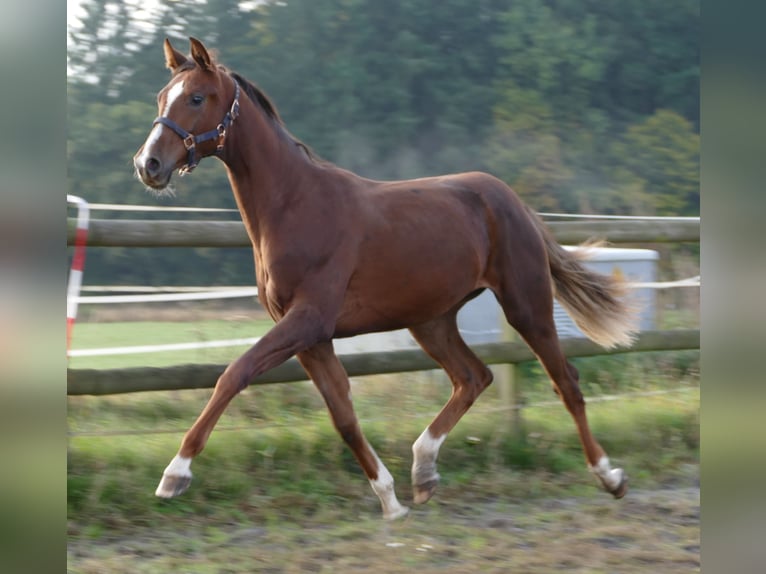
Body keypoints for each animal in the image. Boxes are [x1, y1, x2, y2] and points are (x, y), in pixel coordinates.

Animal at [134, 38, 636, 520]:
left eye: (196, 97)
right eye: (160, 96)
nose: (148, 164)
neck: (295, 205)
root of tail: (515, 201)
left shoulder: (308, 320)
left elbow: (234, 374)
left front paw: (174, 475)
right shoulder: (313, 337)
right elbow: (343, 415)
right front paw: (390, 502)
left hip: (525, 303)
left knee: (565, 380)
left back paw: (610, 477)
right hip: (431, 320)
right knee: (473, 377)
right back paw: (423, 471)